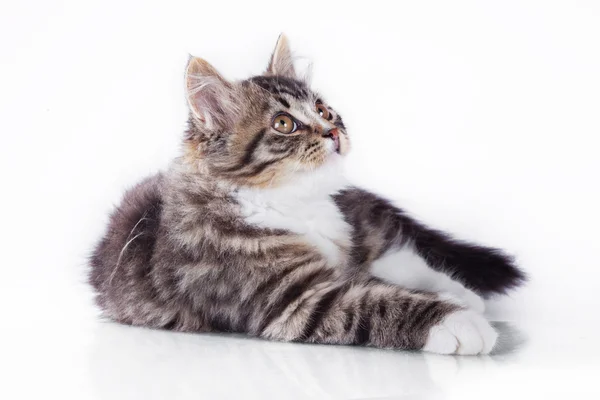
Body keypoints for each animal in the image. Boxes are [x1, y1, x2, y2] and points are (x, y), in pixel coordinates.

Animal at [90, 34, 524, 354]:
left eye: (324, 110)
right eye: (284, 124)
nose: (333, 131)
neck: (294, 203)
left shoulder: (342, 255)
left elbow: (382, 271)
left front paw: (459, 299)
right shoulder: (294, 299)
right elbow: (379, 301)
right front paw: (459, 322)